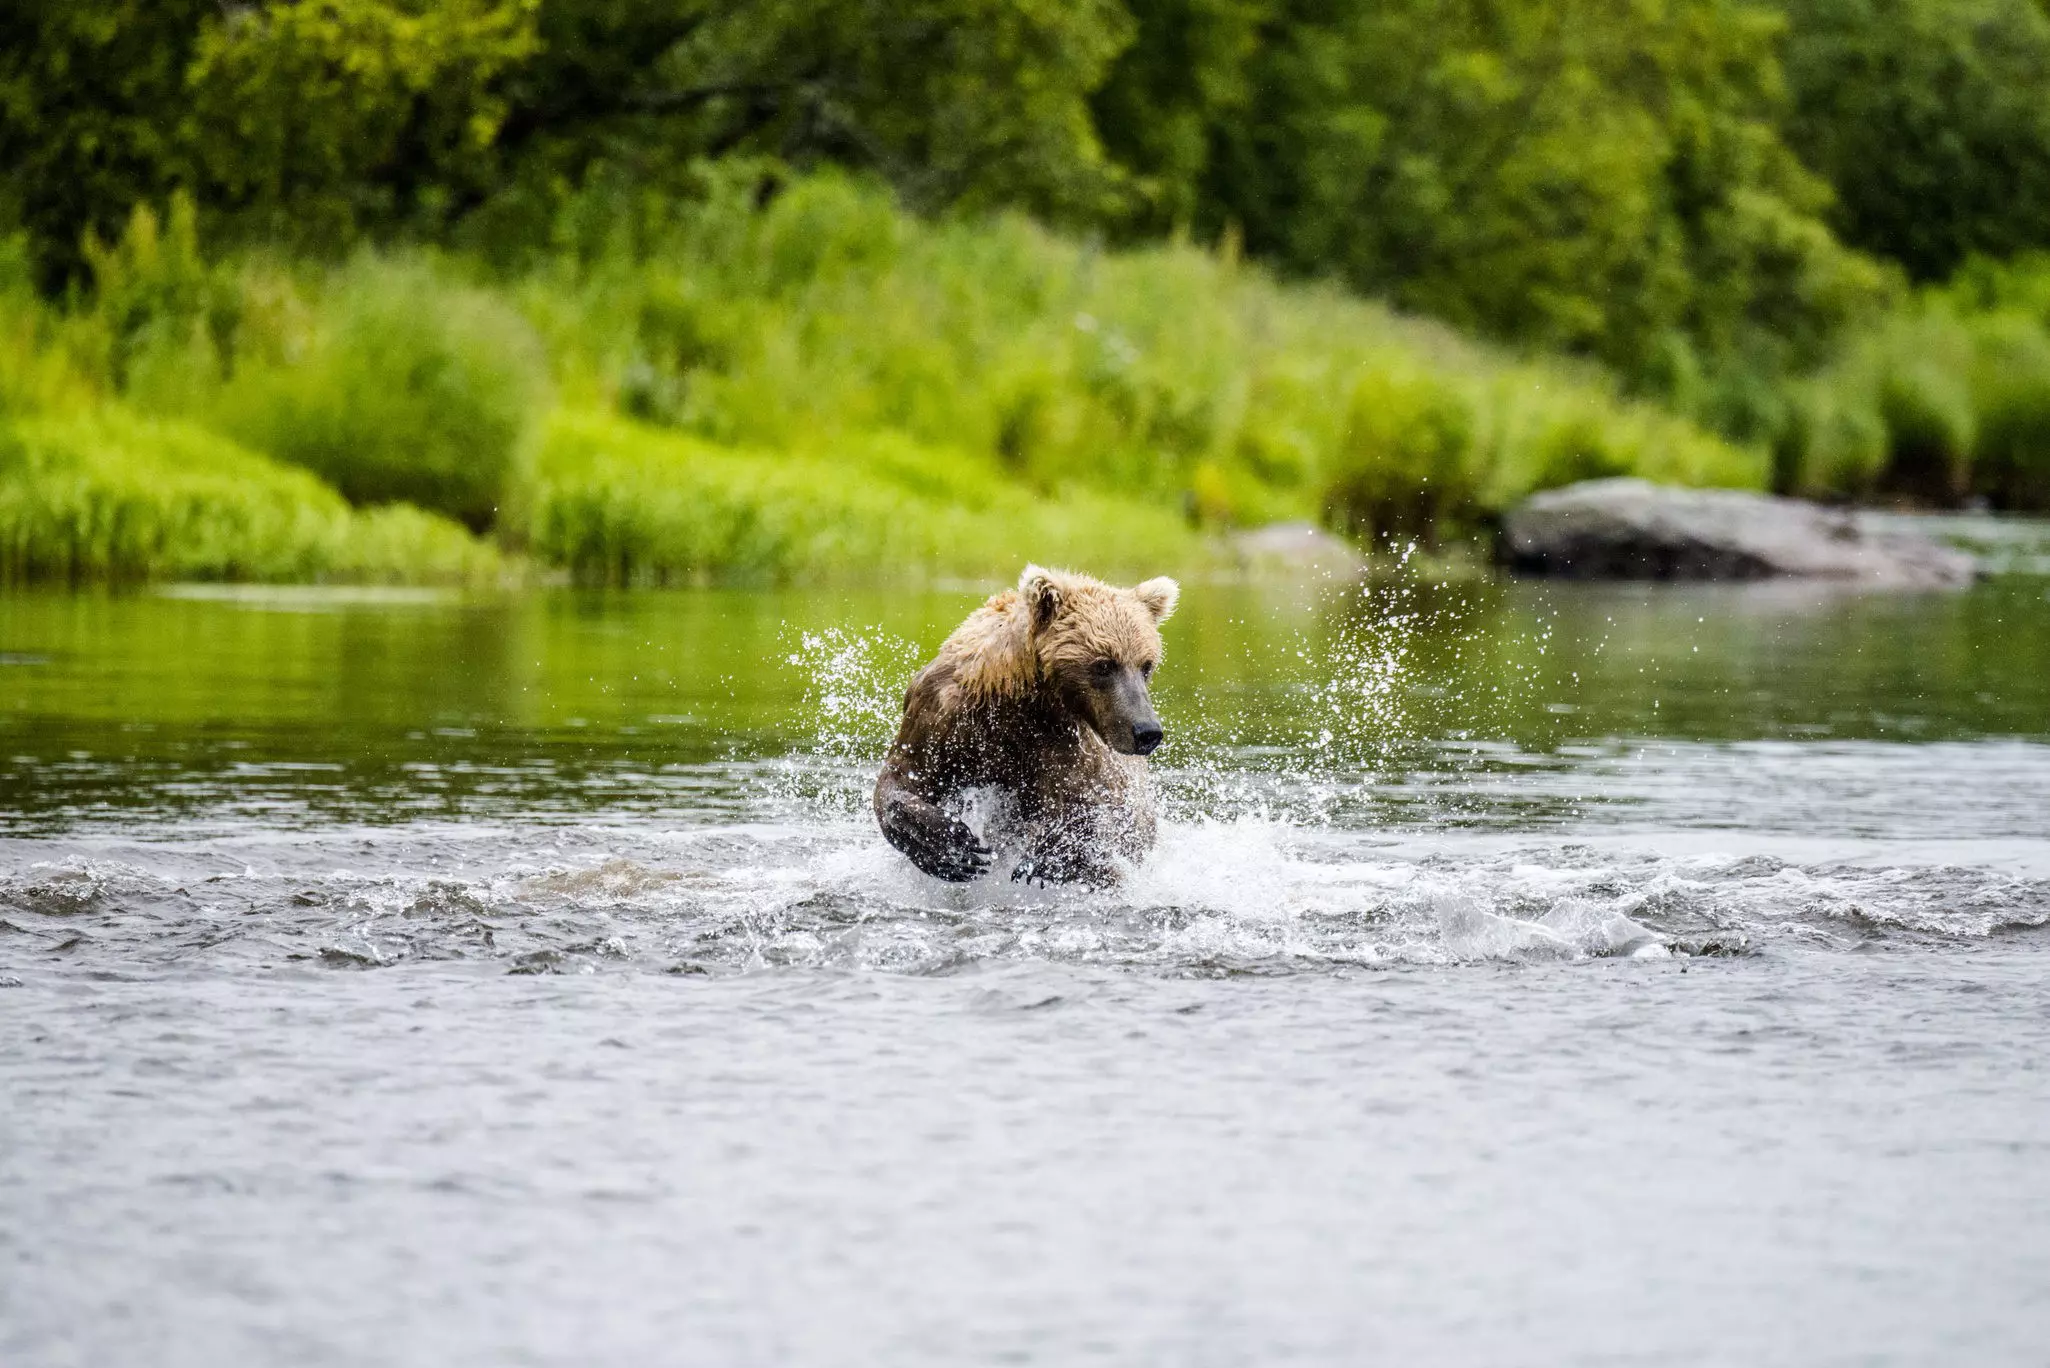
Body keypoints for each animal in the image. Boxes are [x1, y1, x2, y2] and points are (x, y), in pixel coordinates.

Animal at [874, 564, 1180, 886]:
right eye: (1105, 664)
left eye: (1146, 665)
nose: (1147, 731)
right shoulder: (944, 714)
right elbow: (907, 773)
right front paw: (949, 845)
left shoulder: (1069, 748)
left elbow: (1086, 815)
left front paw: (1046, 854)